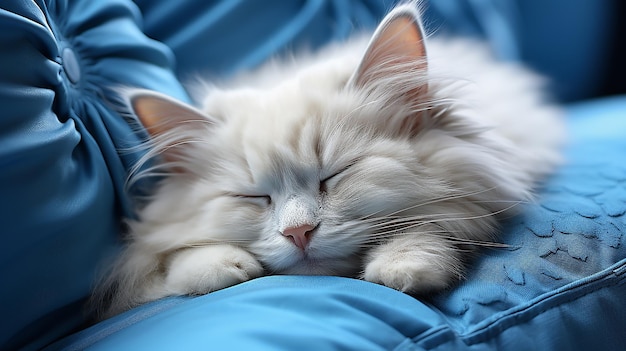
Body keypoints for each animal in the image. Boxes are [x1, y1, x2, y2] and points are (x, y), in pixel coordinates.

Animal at [95, 2, 564, 320]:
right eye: (254, 197)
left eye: (334, 176)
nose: (298, 233)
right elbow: (177, 258)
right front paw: (221, 267)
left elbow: (430, 224)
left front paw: (402, 265)